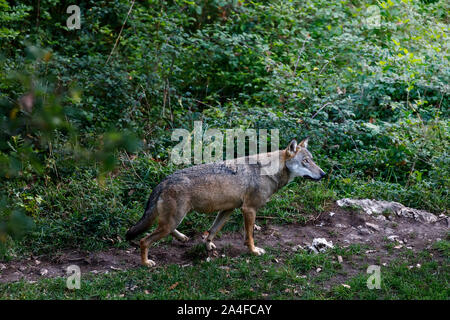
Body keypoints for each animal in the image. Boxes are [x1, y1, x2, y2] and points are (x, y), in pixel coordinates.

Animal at [125, 139, 326, 266]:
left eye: (312, 160)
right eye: (305, 161)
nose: (324, 174)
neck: (269, 172)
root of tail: (164, 181)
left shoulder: (228, 210)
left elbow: (211, 232)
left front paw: (207, 246)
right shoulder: (249, 209)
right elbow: (249, 236)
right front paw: (253, 252)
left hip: (173, 220)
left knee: (164, 230)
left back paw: (182, 237)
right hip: (173, 220)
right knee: (144, 240)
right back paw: (146, 263)